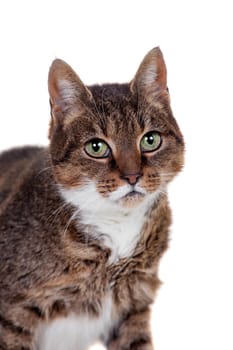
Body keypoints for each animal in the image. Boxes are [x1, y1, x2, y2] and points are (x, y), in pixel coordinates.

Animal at [0, 47, 185, 350]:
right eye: (96, 147)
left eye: (150, 140)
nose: (132, 176)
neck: (117, 227)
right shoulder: (13, 311)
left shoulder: (131, 307)